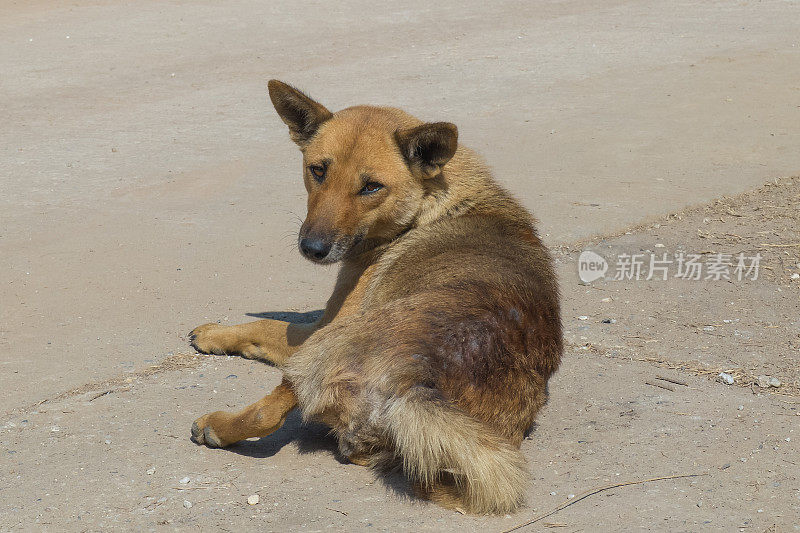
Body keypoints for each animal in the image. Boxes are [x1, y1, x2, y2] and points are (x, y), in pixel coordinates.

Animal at [189, 81, 564, 512]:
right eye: (318, 170)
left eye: (371, 187)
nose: (312, 249)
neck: (427, 206)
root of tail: (413, 381)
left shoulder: (317, 329)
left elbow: (267, 326)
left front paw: (213, 333)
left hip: (319, 352)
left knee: (267, 414)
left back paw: (217, 427)